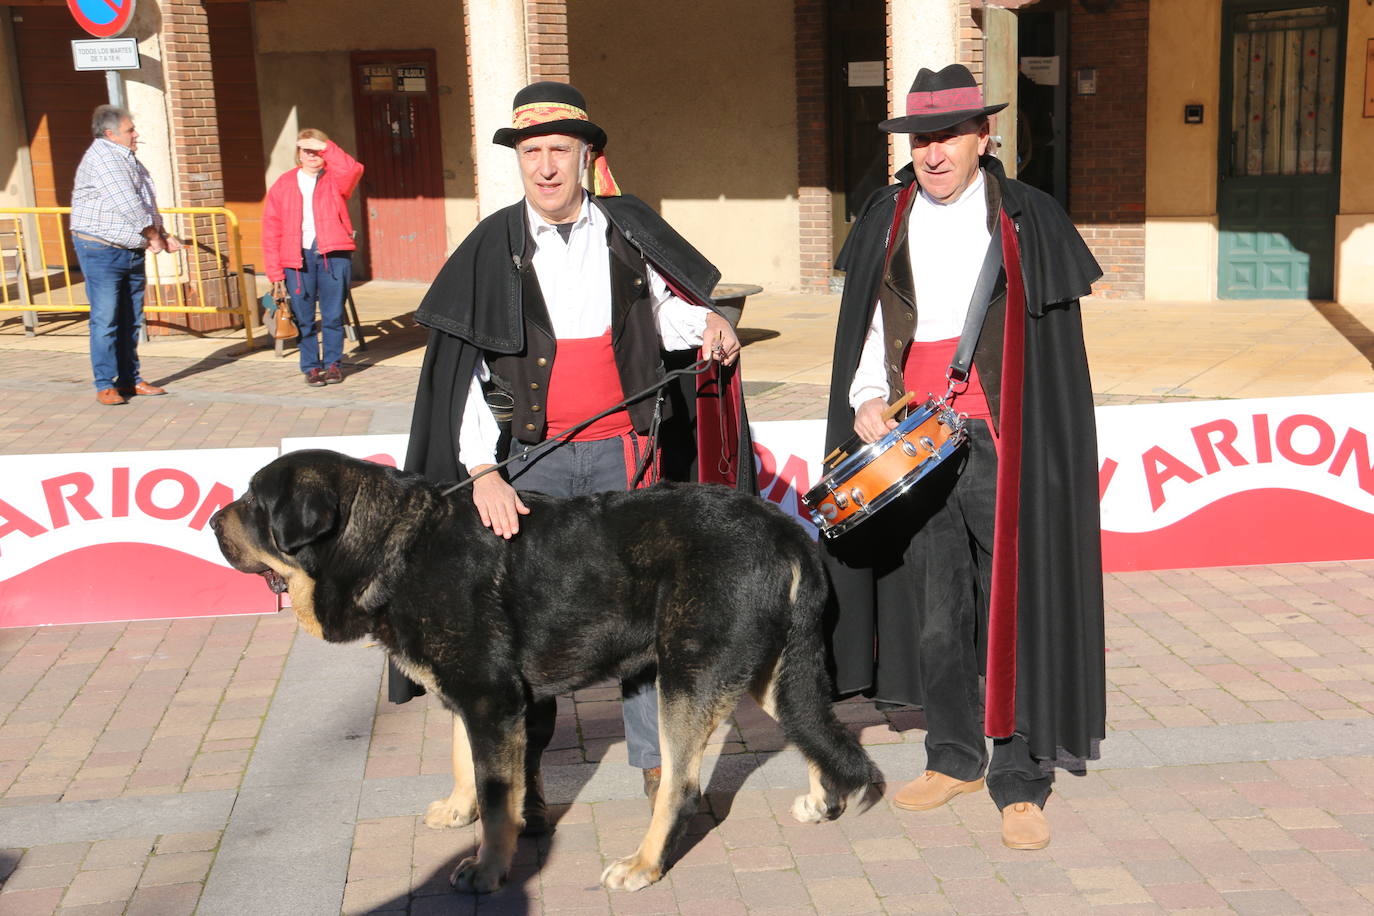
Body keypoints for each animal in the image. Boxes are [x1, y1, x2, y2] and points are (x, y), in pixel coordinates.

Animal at [214, 450, 879, 895]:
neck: (393, 546)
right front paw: (458, 810)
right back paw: (823, 799)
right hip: (764, 669)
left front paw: (485, 869)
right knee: (815, 727)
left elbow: (498, 796)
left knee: (681, 788)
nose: (214, 521)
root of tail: (787, 529)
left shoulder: (491, 698)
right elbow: (465, 763)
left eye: (253, 503)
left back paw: (643, 865)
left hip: (688, 678)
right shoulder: (476, 696)